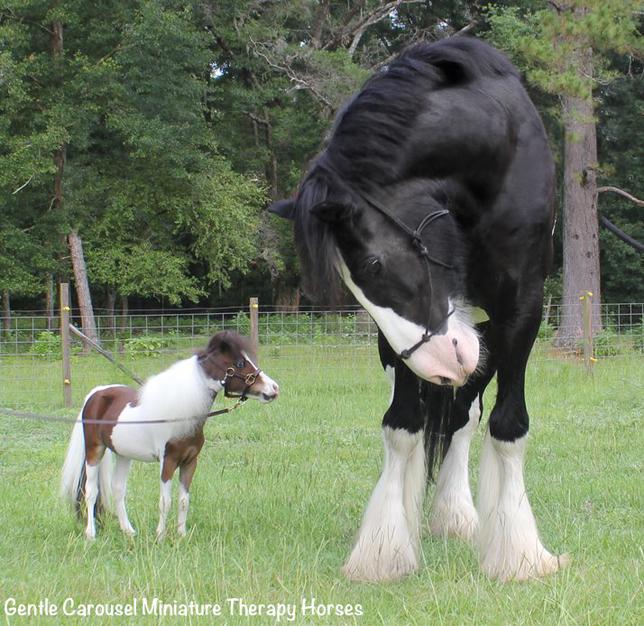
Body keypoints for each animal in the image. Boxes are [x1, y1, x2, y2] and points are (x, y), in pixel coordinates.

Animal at [61, 330, 280, 540]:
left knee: (118, 489)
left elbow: (183, 500)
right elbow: (165, 501)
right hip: (94, 450)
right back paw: (91, 534)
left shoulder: (190, 462)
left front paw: (181, 535)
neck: (180, 416)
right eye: (240, 363)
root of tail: (96, 394)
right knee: (91, 491)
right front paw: (161, 536)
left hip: (123, 454)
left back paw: (129, 531)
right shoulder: (168, 461)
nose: (274, 388)